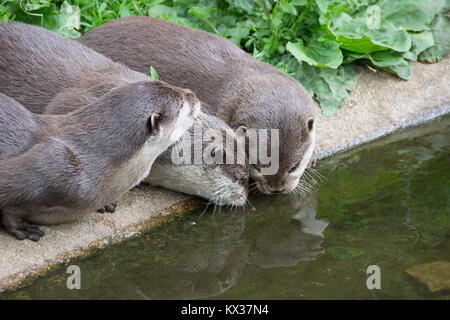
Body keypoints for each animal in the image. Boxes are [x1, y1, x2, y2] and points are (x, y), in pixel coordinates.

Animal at [0, 80, 197, 242]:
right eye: (181, 104)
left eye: (170, 84)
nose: (193, 94)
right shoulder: (54, 164)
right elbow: (10, 206)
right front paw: (22, 228)